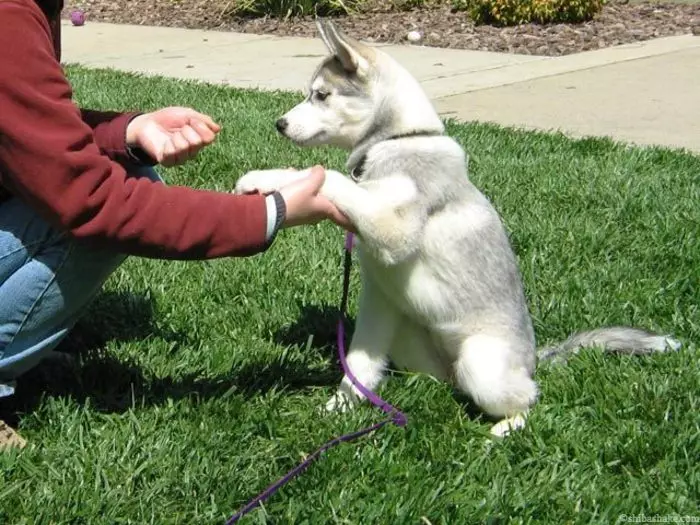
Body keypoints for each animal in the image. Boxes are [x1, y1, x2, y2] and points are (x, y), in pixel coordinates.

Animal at [235, 19, 680, 434]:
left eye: (322, 95)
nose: (279, 123)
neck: (399, 139)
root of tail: (532, 360)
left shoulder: (394, 228)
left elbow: (331, 177)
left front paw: (277, 180)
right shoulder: (378, 297)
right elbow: (359, 363)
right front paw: (341, 406)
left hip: (480, 365)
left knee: (528, 398)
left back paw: (505, 429)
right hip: (409, 336)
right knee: (441, 382)